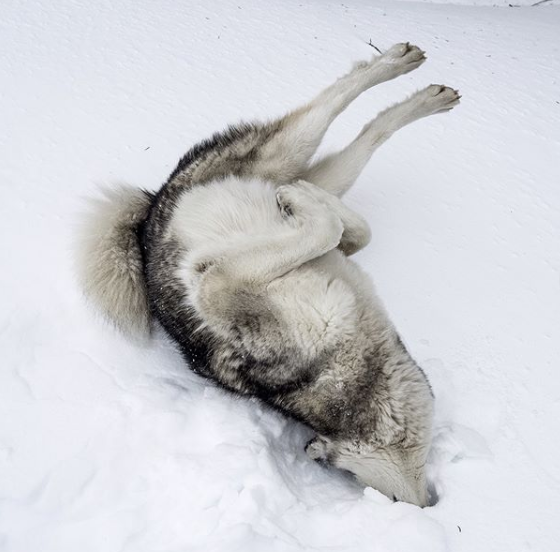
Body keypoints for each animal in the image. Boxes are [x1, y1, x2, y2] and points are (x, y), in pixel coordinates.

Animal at [77, 45, 460, 506]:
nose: (428, 499)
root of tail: (151, 207)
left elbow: (352, 232)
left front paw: (307, 202)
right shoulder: (218, 283)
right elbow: (335, 229)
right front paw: (307, 203)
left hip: (296, 161)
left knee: (363, 130)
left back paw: (420, 92)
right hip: (286, 149)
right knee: (332, 104)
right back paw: (399, 70)